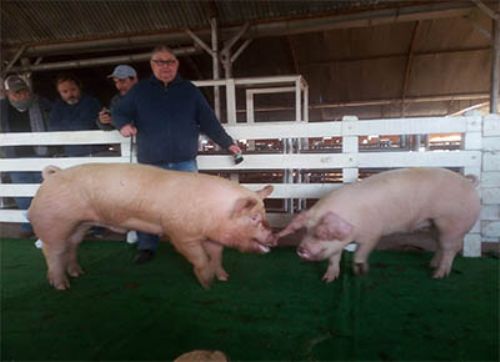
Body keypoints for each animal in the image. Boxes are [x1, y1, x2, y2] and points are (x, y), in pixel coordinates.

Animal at [28, 164, 276, 292]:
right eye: (254, 217)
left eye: (265, 213)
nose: (274, 237)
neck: (214, 213)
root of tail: (52, 176)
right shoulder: (181, 234)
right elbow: (200, 258)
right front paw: (206, 283)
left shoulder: (213, 236)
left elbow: (216, 255)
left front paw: (224, 278)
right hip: (54, 224)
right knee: (53, 252)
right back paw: (62, 286)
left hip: (80, 225)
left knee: (71, 246)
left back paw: (78, 273)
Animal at [278, 168, 480, 282]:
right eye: (306, 230)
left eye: (321, 233)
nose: (301, 249)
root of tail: (468, 182)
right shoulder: (338, 244)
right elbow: (334, 258)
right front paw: (327, 279)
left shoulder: (373, 234)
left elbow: (361, 252)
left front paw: (360, 270)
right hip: (435, 225)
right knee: (440, 245)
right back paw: (432, 265)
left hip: (452, 224)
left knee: (450, 248)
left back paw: (438, 275)